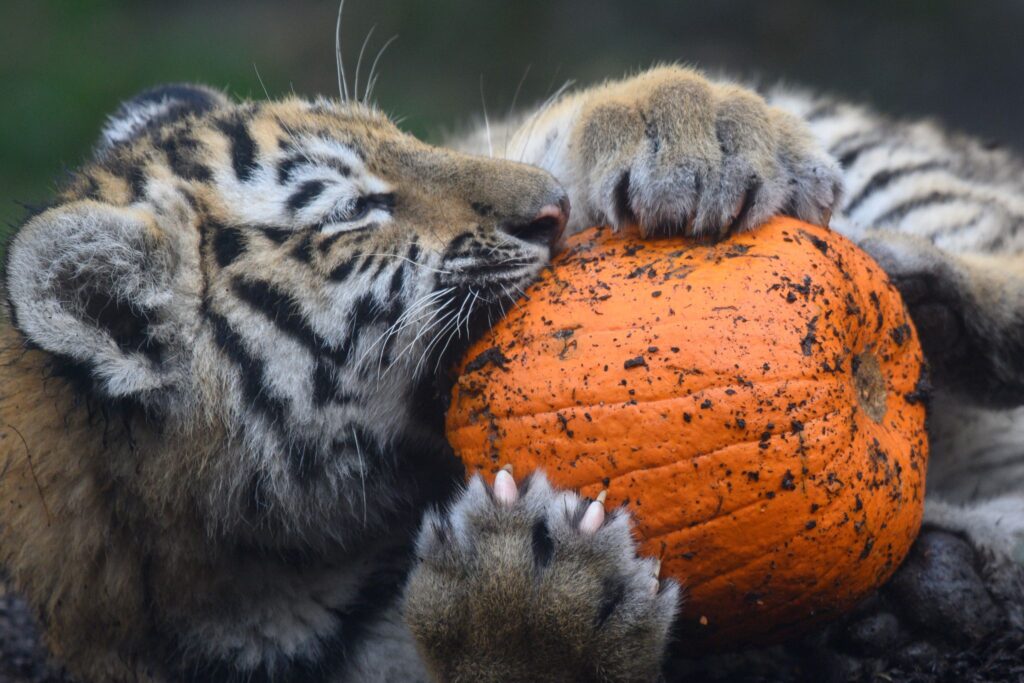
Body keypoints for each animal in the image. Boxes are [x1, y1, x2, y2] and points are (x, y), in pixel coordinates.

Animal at [0, 58, 1022, 682]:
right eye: (353, 212)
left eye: (405, 137)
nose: (554, 211)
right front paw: (528, 592)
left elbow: (546, 122)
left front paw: (690, 125)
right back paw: (945, 577)